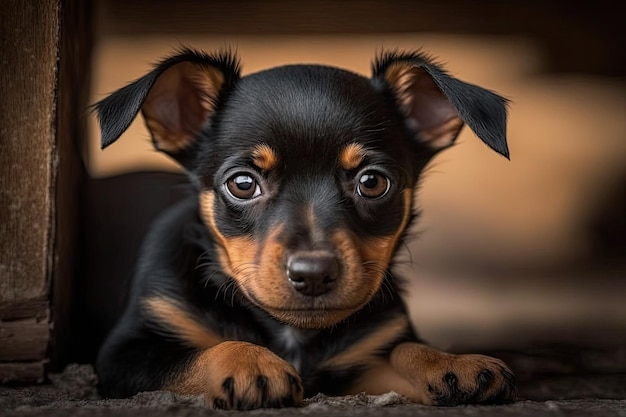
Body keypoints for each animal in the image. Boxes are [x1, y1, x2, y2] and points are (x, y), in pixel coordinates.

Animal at [92, 47, 512, 408]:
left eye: (372, 182)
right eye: (242, 184)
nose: (313, 274)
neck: (291, 333)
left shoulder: (356, 369)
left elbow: (402, 349)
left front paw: (450, 362)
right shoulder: (122, 357)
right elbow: (200, 353)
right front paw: (251, 363)